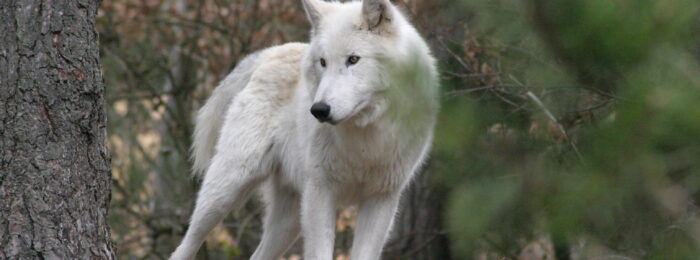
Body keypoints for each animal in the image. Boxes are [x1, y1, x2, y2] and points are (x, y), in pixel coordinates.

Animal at [170, 0, 440, 258]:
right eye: (323, 62)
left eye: (353, 59)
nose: (319, 110)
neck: (366, 136)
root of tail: (270, 51)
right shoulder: (321, 193)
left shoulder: (382, 200)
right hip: (226, 191)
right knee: (184, 247)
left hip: (289, 222)